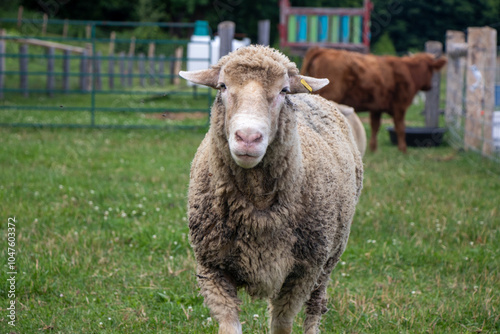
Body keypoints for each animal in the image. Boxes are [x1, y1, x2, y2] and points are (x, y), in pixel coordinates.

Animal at [180, 45, 364, 334]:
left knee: (316, 305)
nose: (248, 138)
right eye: (222, 86)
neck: (258, 207)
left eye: (283, 90)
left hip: (329, 258)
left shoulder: (302, 273)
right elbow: (230, 326)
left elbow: (282, 325)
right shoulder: (212, 269)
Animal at [298, 46, 448, 153]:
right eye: (431, 69)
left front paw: (373, 149)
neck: (408, 72)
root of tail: (321, 49)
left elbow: (375, 127)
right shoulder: (400, 106)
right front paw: (403, 149)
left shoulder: (376, 108)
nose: (430, 86)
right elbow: (400, 128)